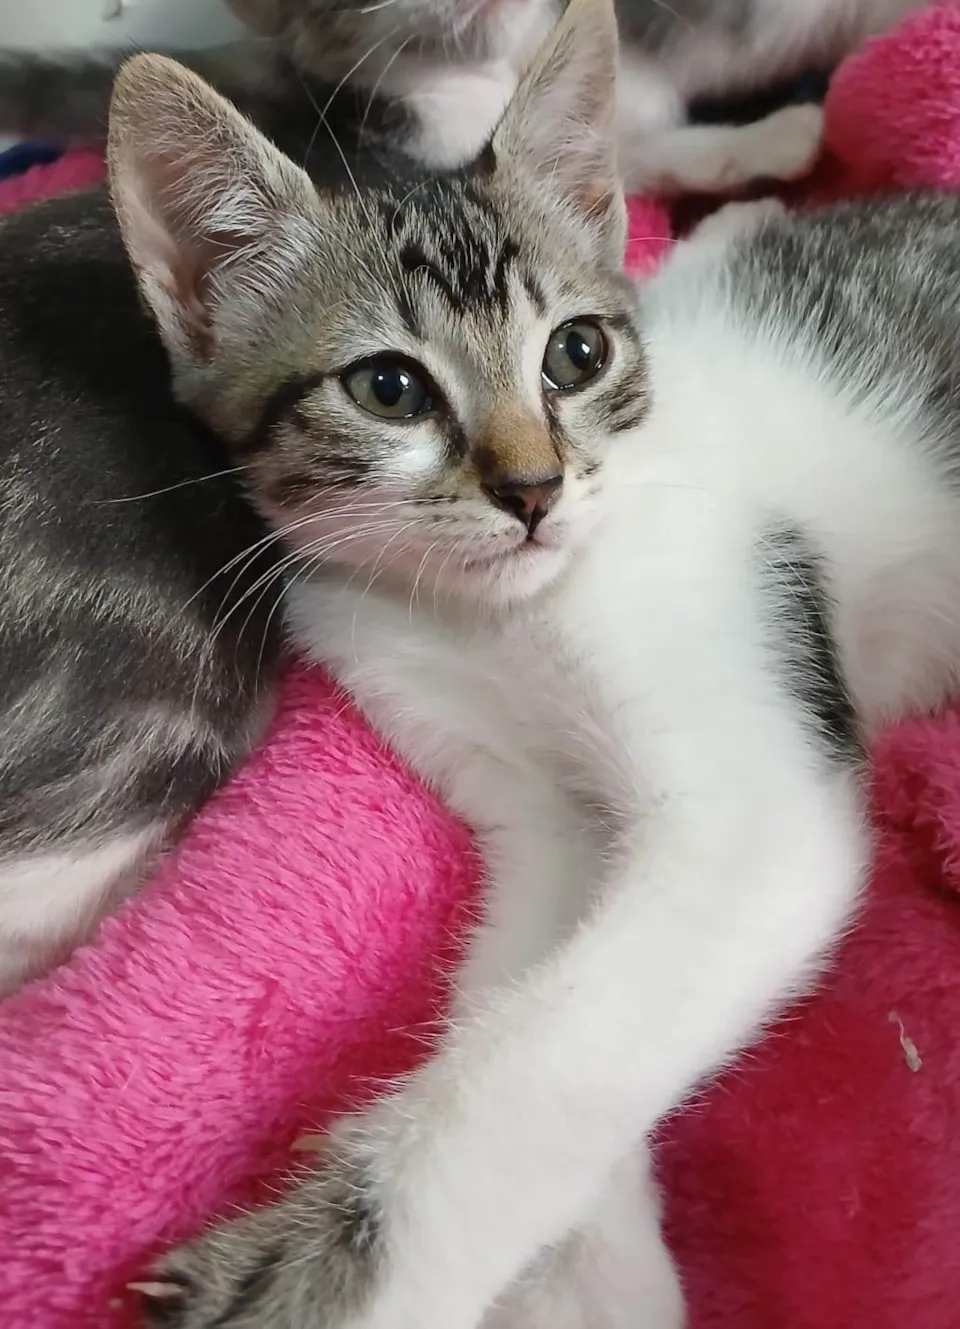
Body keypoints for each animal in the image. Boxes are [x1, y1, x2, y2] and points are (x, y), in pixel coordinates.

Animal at [85, 0, 960, 1326]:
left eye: (577, 355)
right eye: (389, 387)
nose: (535, 490)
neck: (486, 617)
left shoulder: (751, 798)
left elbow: (546, 1058)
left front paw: (327, 1279)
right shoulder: (526, 804)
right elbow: (531, 985)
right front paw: (592, 1279)